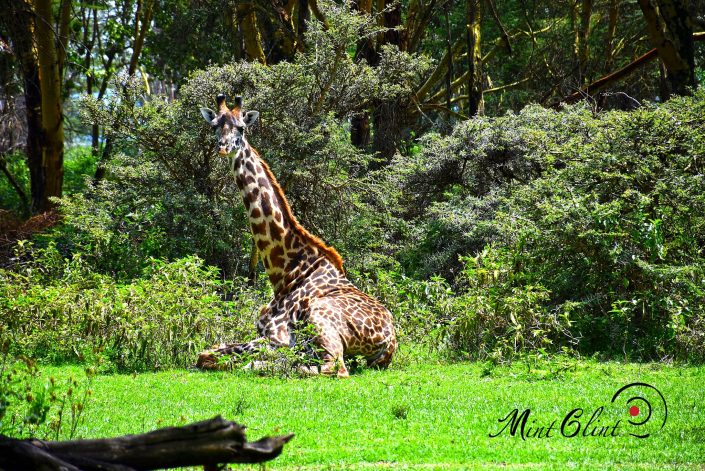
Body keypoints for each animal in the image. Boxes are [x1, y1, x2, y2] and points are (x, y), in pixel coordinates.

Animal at [195, 94, 396, 378]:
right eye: (214, 126)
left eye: (241, 128)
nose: (223, 147)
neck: (285, 272)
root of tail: (390, 344)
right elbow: (208, 352)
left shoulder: (277, 336)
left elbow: (211, 356)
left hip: (320, 321)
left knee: (333, 367)